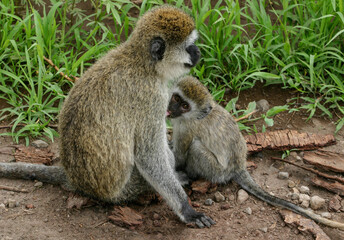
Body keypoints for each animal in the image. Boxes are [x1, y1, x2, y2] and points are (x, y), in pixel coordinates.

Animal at [168, 76, 344, 229]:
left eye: (185, 106)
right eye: (176, 98)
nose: (170, 108)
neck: (198, 115)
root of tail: (238, 167)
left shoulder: (186, 128)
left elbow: (180, 156)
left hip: (216, 171)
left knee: (196, 148)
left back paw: (191, 175)